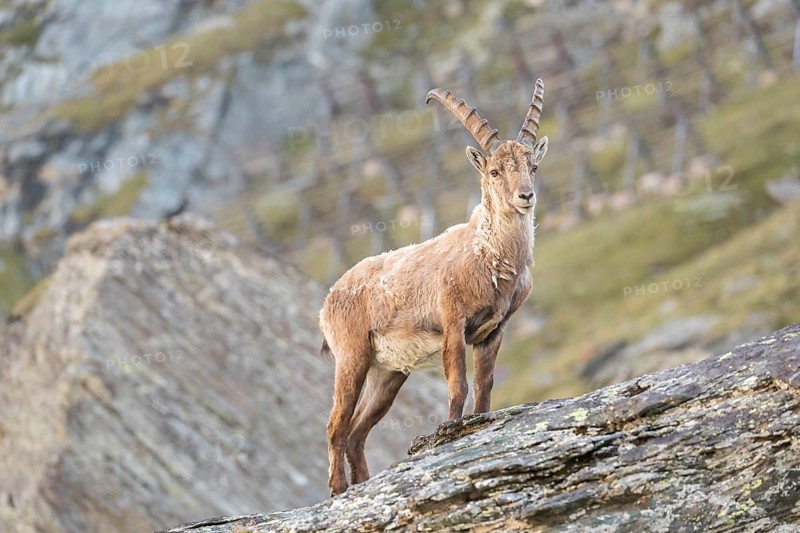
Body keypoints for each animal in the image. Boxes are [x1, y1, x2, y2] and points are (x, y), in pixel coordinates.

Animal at [320, 79, 549, 496]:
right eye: (494, 171)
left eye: (533, 166)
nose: (525, 196)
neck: (489, 254)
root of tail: (329, 300)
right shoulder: (452, 324)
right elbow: (458, 385)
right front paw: (450, 431)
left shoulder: (494, 331)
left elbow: (485, 386)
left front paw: (478, 423)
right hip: (352, 357)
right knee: (336, 425)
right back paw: (339, 490)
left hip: (389, 373)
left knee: (357, 431)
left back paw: (363, 482)